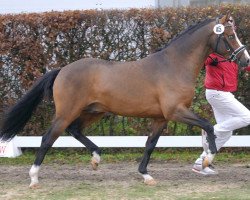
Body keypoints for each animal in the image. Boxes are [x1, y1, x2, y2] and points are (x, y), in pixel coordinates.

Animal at [0, 12, 250, 188]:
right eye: (230, 36)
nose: (246, 60)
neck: (174, 65)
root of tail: (62, 70)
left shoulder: (161, 118)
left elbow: (150, 144)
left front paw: (146, 175)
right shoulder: (175, 111)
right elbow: (209, 126)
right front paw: (207, 159)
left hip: (94, 111)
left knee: (75, 130)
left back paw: (96, 158)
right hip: (67, 112)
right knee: (48, 138)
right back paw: (34, 178)